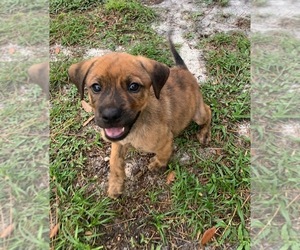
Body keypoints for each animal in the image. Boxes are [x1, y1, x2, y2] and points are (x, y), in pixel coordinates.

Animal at [69, 39, 212, 198]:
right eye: (96, 87)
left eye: (134, 86)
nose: (110, 116)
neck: (136, 124)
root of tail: (183, 70)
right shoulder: (118, 142)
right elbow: (114, 162)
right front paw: (115, 185)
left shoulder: (165, 139)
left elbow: (163, 154)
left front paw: (158, 164)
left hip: (197, 114)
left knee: (208, 111)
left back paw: (204, 133)